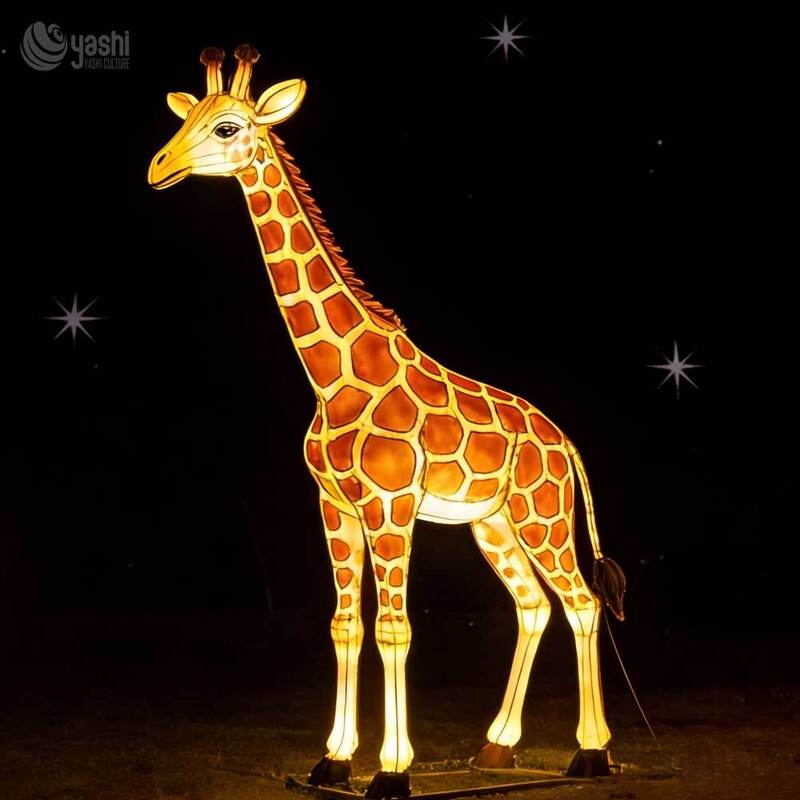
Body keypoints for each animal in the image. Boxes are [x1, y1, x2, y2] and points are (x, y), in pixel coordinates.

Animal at [148, 45, 627, 797]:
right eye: (184, 118)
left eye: (227, 127)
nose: (158, 166)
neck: (333, 375)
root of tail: (566, 441)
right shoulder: (335, 505)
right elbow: (344, 624)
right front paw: (334, 759)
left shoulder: (391, 505)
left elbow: (394, 630)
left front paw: (392, 770)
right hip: (492, 523)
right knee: (534, 604)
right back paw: (496, 747)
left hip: (542, 515)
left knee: (581, 602)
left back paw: (591, 753)